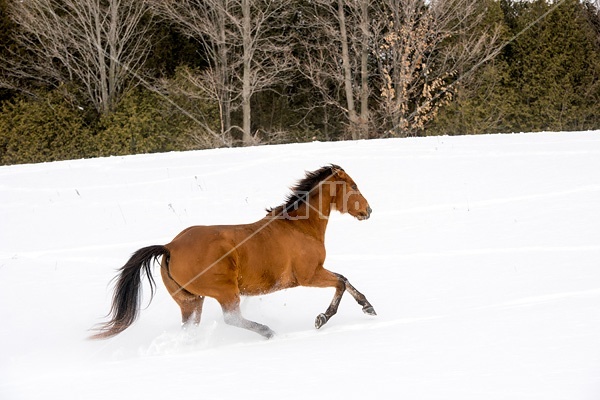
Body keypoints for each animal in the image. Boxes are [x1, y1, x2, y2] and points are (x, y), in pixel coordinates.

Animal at [91, 164, 376, 340]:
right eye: (353, 186)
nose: (368, 211)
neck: (300, 227)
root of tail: (170, 247)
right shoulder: (309, 276)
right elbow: (340, 283)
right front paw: (322, 318)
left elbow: (345, 280)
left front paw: (368, 306)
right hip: (224, 292)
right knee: (232, 318)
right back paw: (269, 332)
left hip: (190, 301)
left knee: (191, 326)